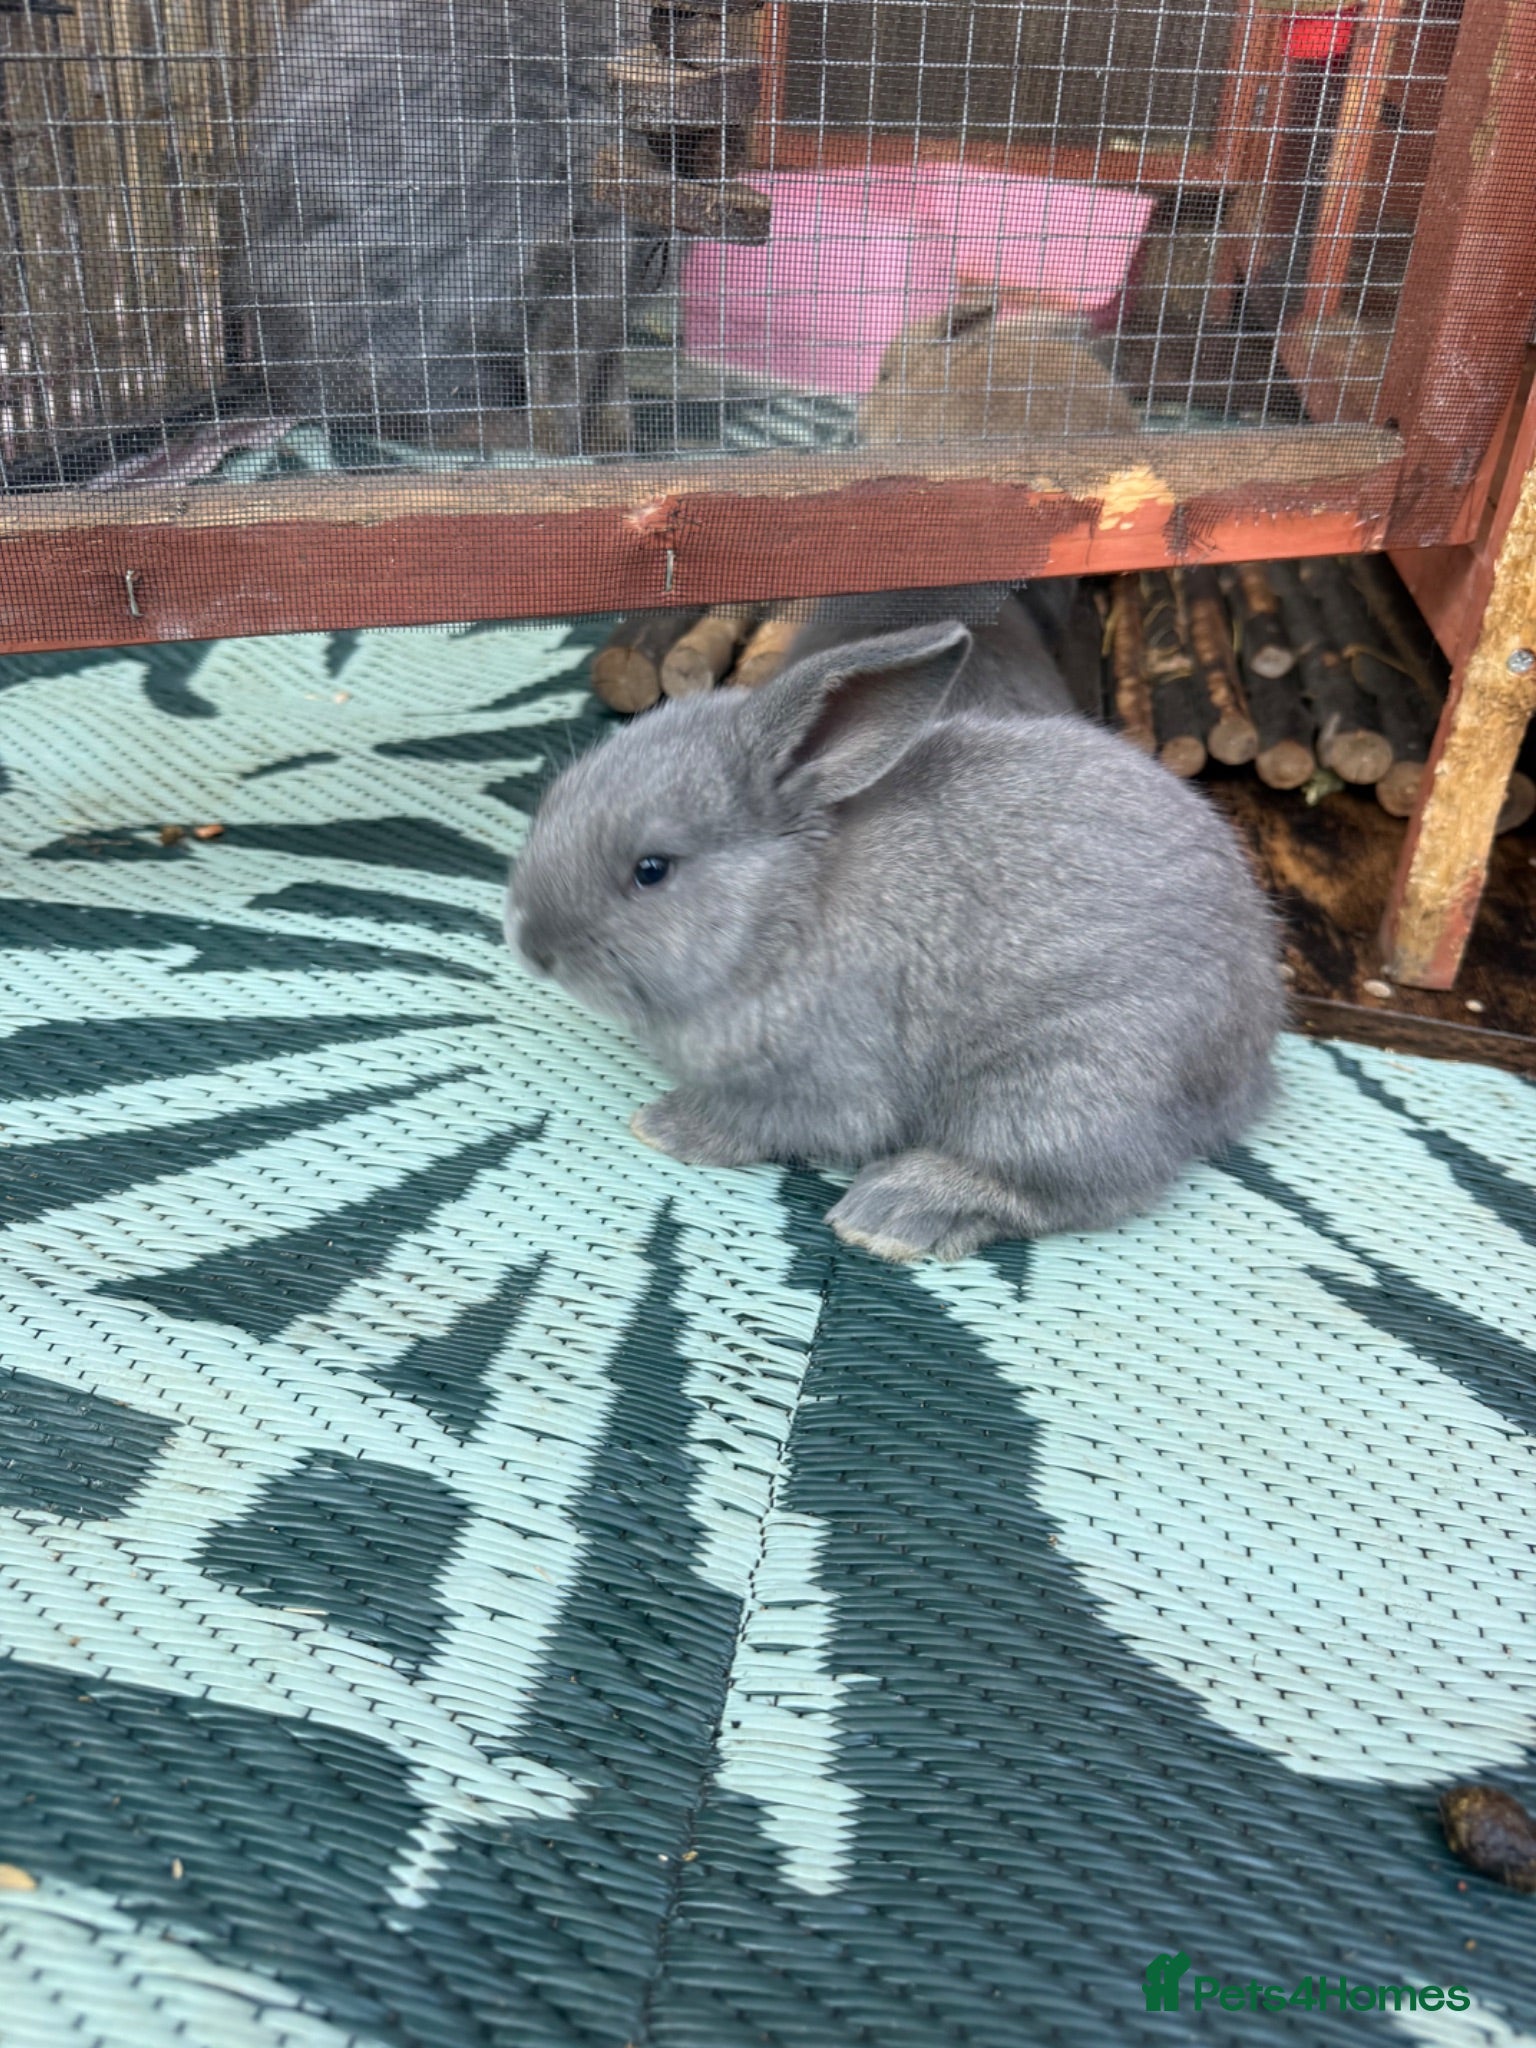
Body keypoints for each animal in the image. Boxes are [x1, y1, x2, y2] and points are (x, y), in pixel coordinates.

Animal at [508, 619, 1283, 1261]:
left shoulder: (830, 1083)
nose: (528, 942)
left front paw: (663, 1126)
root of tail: (1248, 1070)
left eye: (652, 869)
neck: (782, 912)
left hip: (1063, 1084)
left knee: (1086, 1187)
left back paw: (892, 1212)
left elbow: (763, 1121)